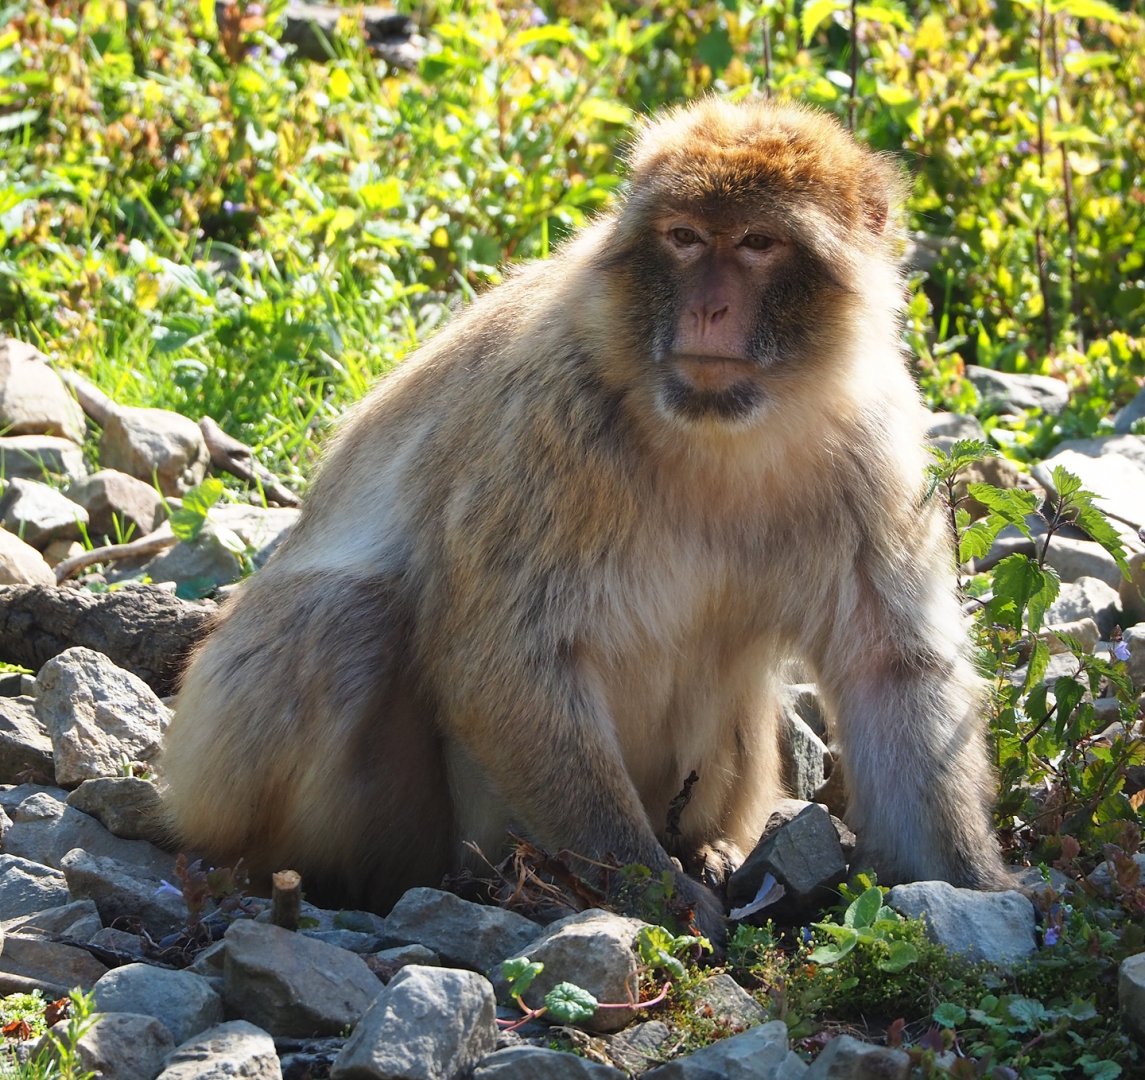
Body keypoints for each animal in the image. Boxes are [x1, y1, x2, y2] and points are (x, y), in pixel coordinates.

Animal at [161, 97, 1010, 940]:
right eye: (684, 237)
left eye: (757, 243)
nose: (708, 306)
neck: (718, 437)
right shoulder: (546, 422)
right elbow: (504, 659)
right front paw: (657, 894)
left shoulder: (875, 449)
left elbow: (890, 668)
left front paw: (976, 887)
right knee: (339, 617)